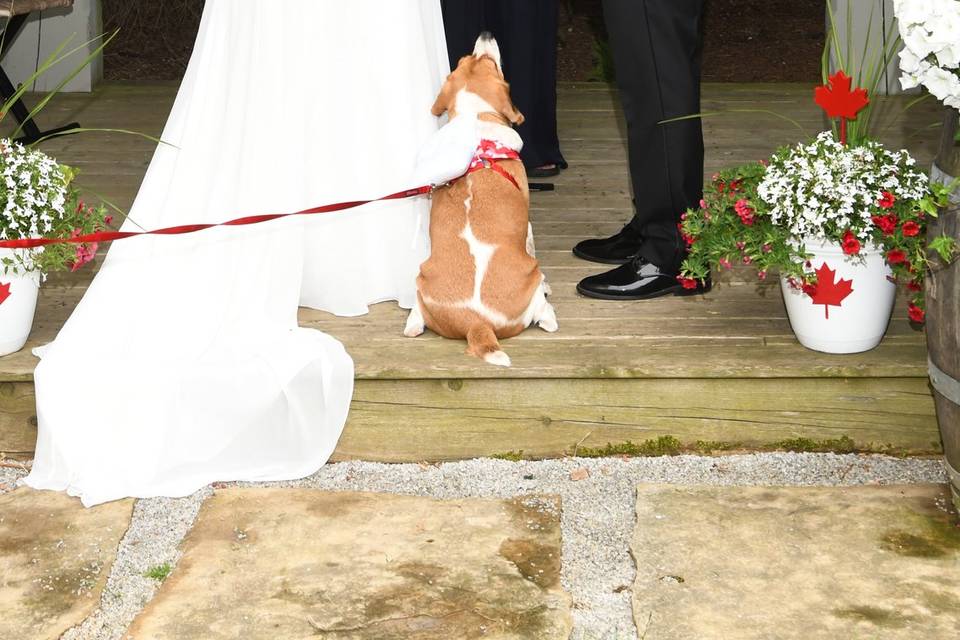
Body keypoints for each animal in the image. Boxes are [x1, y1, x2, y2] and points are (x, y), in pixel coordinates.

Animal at [404, 33, 556, 364]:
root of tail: (476, 324)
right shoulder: (528, 226)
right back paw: (549, 314)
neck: (475, 119)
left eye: (463, 60)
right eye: (492, 64)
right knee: (543, 311)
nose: (486, 34)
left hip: (421, 276)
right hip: (533, 275)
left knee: (416, 314)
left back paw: (412, 325)